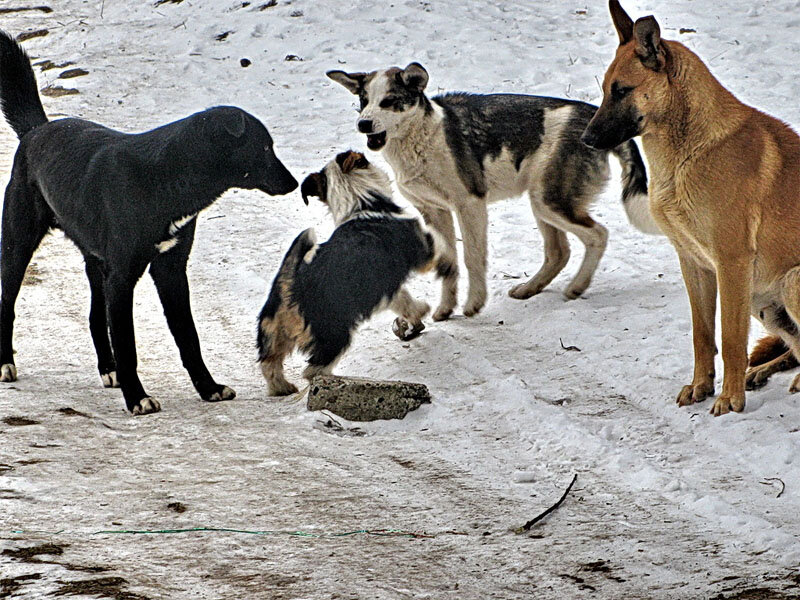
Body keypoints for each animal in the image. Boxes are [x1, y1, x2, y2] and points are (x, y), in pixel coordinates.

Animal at [0, 30, 298, 414]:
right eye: (264, 147)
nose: (295, 183)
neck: (167, 176)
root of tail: (36, 131)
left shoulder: (170, 270)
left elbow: (189, 337)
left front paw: (208, 387)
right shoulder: (124, 277)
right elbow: (128, 344)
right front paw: (137, 397)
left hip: (97, 264)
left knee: (96, 317)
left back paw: (108, 370)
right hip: (18, 244)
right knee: (8, 304)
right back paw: (6, 363)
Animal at [258, 150, 454, 396]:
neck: (360, 205)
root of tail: (290, 286)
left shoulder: (386, 288)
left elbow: (405, 302)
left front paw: (419, 312)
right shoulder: (422, 252)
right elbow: (438, 243)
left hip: (273, 332)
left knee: (270, 363)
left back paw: (282, 388)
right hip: (334, 334)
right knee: (314, 369)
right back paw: (332, 381)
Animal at [328, 62, 660, 322]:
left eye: (388, 101)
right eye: (363, 100)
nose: (363, 124)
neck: (421, 138)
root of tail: (593, 121)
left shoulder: (470, 205)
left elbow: (472, 258)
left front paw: (474, 303)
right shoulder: (435, 212)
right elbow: (449, 266)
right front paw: (446, 309)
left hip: (550, 201)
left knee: (597, 235)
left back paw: (577, 286)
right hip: (540, 203)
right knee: (559, 252)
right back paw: (530, 288)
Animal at [580, 0, 800, 414]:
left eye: (622, 90)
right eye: (604, 91)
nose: (586, 139)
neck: (690, 150)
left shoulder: (732, 265)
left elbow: (730, 340)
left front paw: (730, 398)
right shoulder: (695, 263)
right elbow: (702, 336)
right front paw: (702, 386)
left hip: (789, 283)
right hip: (763, 302)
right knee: (795, 350)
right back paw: (766, 372)